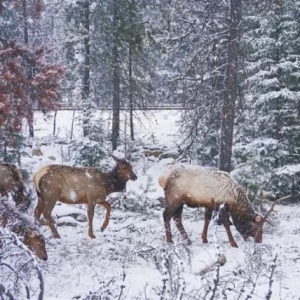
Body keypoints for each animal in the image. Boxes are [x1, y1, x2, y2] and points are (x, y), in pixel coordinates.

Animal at [158, 165, 290, 247]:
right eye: (256, 226)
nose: (259, 240)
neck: (234, 199)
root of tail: (162, 178)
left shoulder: (210, 204)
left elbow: (207, 219)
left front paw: (204, 239)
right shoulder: (221, 203)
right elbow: (226, 223)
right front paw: (233, 243)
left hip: (180, 202)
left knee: (177, 218)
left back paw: (187, 240)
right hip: (174, 198)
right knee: (166, 215)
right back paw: (169, 240)